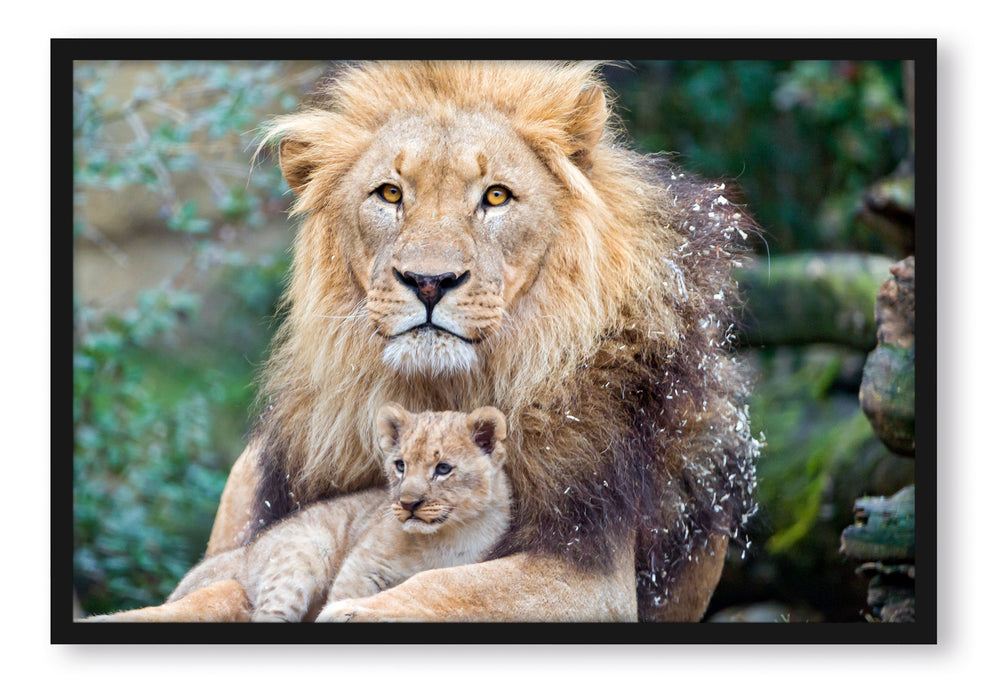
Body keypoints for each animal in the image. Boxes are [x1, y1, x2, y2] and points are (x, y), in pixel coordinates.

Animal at [88, 60, 759, 623]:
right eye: (390, 193)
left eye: (496, 196)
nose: (429, 281)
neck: (435, 392)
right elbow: (219, 590)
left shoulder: (590, 570)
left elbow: (451, 585)